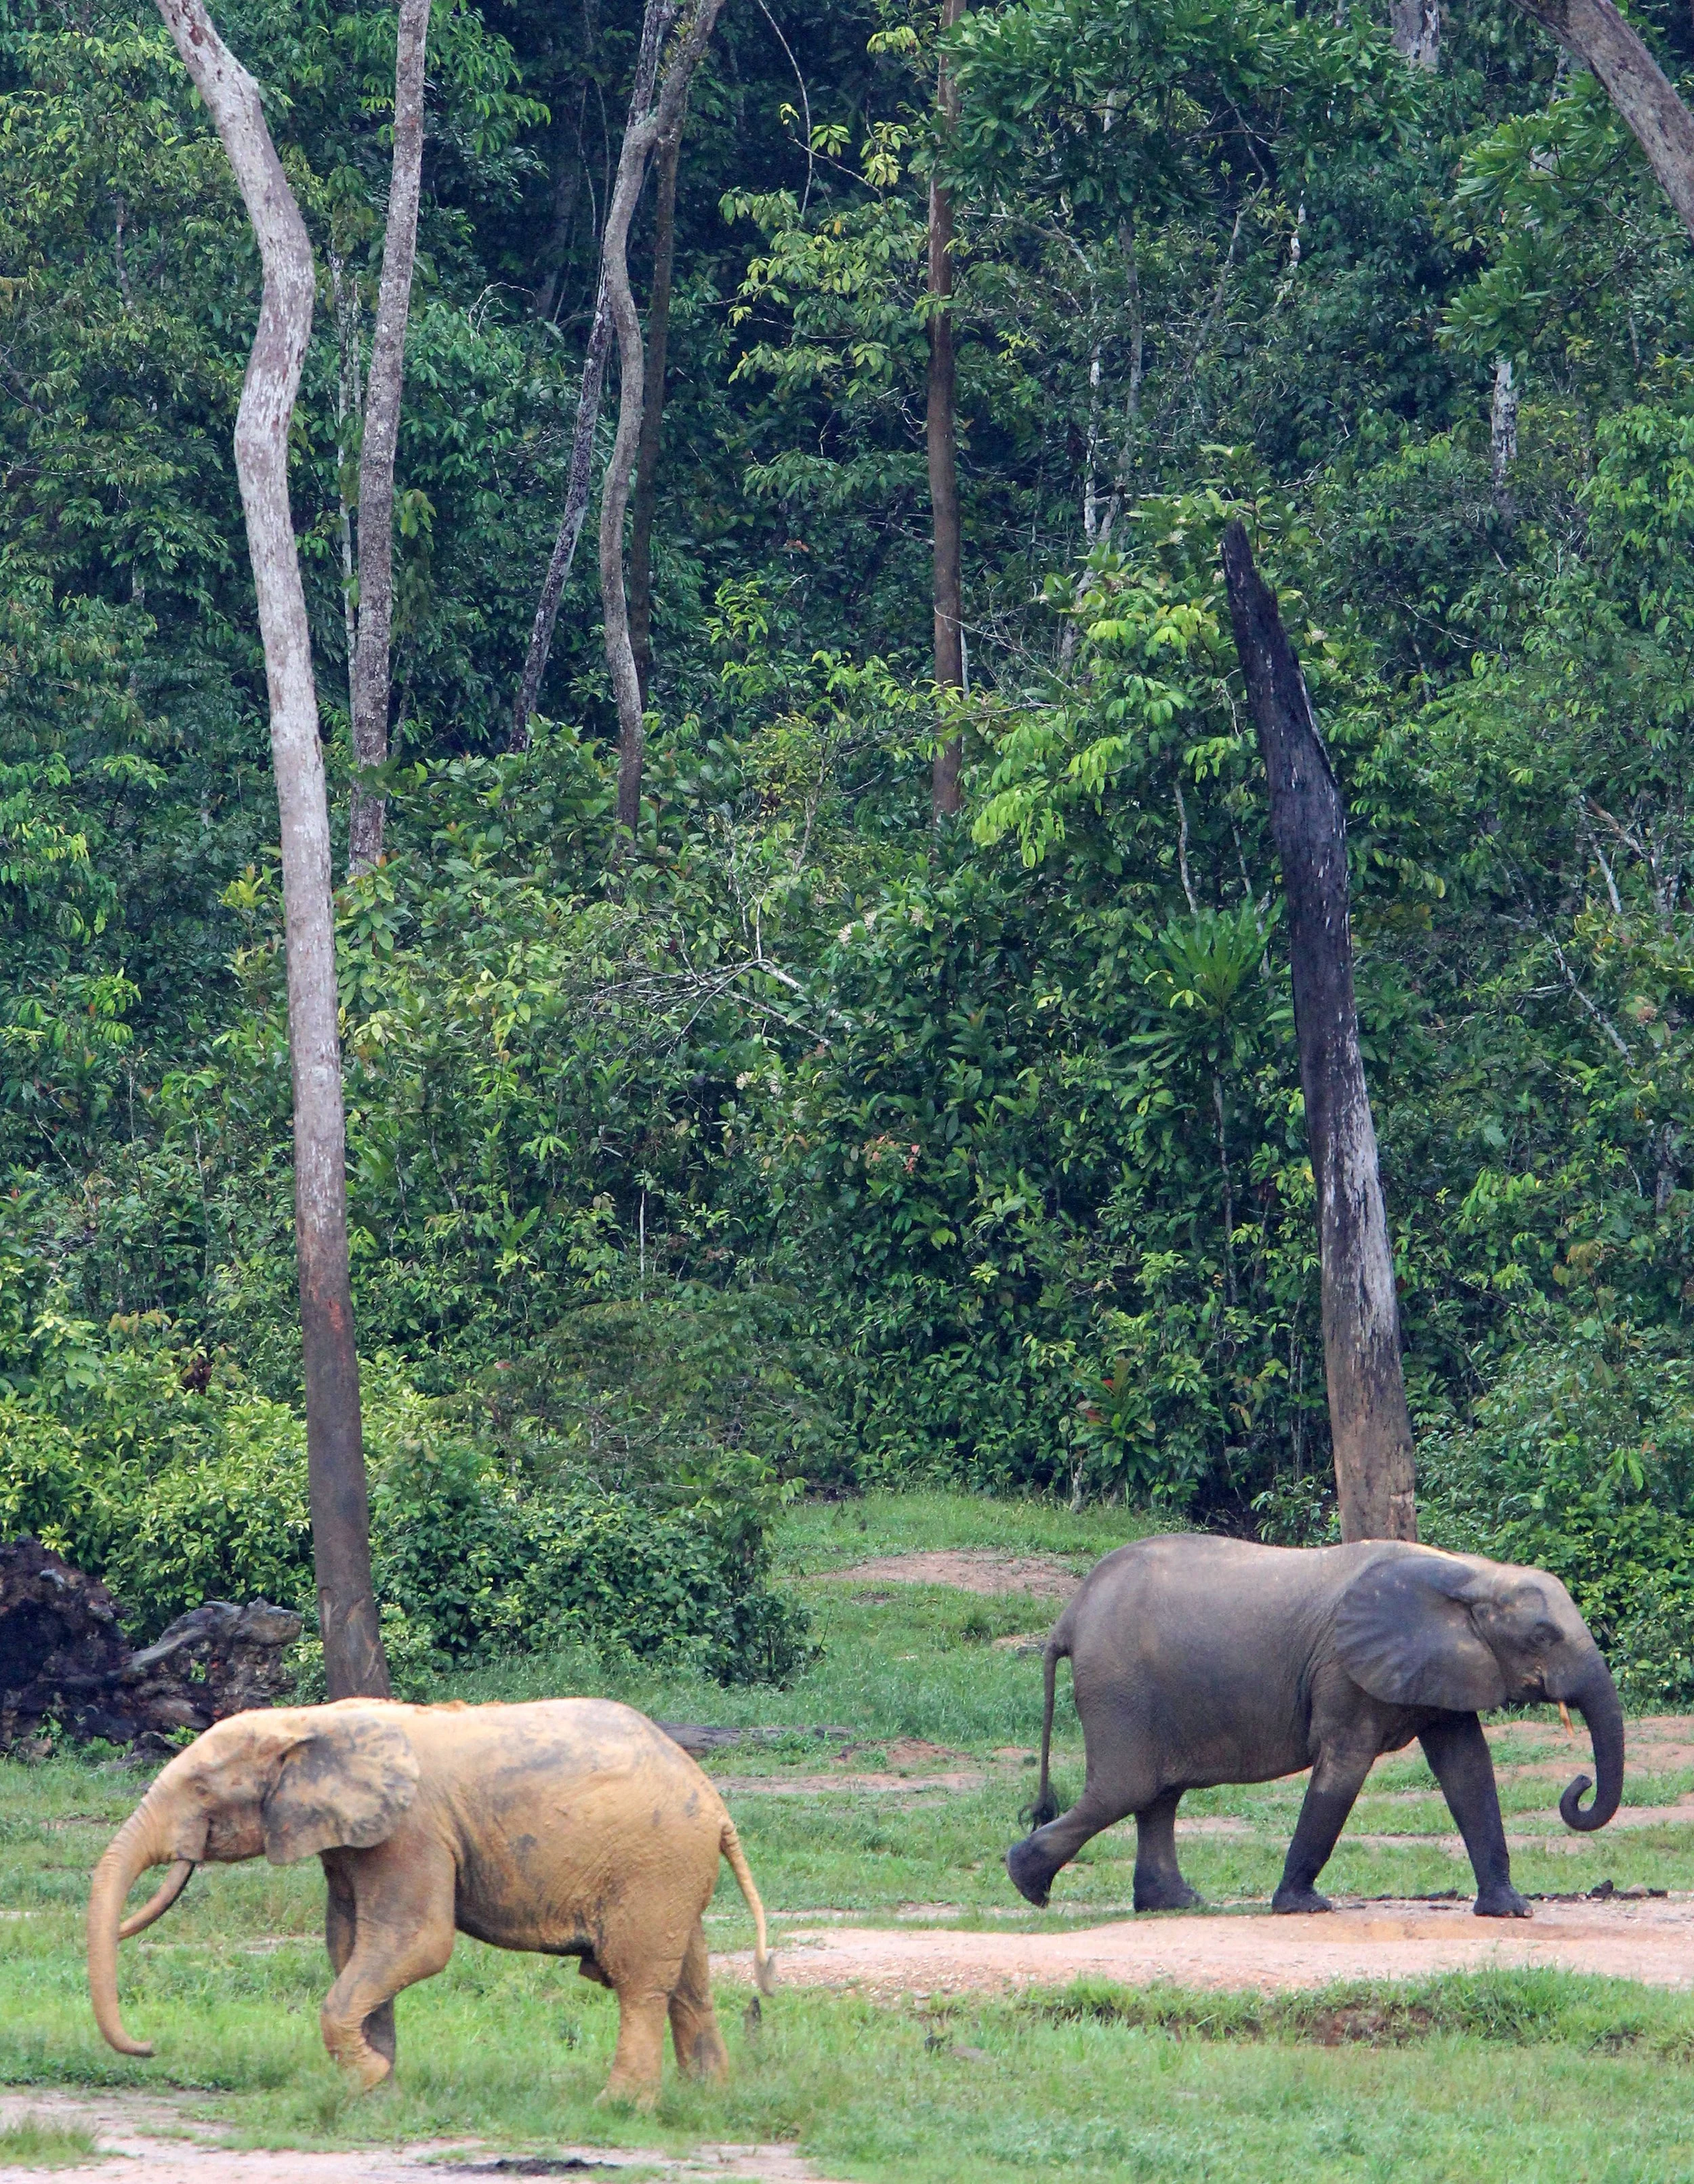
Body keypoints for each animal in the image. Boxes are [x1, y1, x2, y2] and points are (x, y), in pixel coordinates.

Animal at [88, 1695, 775, 2106]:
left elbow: (413, 1943)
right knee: (689, 1977)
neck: (312, 1719)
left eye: (201, 1789)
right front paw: (378, 2094)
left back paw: (618, 2106)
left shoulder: (411, 1831)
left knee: (640, 1982)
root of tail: (716, 1804)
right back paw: (709, 2097)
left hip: (652, 1864)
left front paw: (366, 2080)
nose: (151, 2045)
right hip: (670, 1870)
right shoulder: (355, 1839)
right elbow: (352, 1944)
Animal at [1004, 1535, 1624, 1920]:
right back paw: (1027, 1882)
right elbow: (1344, 1767)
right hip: (1119, 1687)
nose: (1579, 1783)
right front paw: (1302, 1905)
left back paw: (1176, 1903)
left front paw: (1511, 1909)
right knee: (1125, 1789)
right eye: (1542, 1635)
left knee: (1156, 1794)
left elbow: (1468, 1766)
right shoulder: (1345, 1670)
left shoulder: (1441, 1664)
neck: (1470, 1573)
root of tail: (1068, 1617)